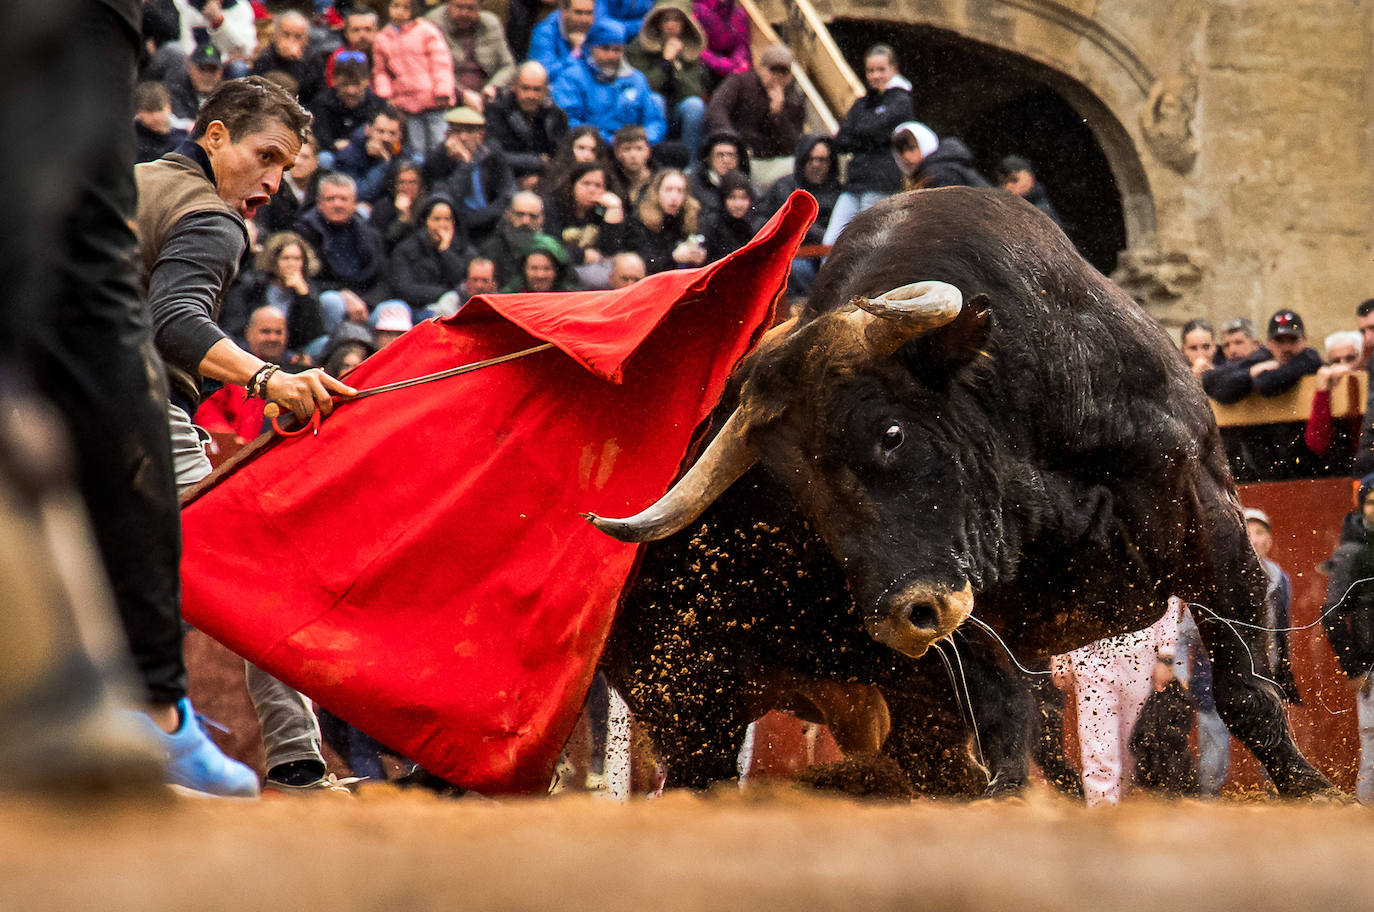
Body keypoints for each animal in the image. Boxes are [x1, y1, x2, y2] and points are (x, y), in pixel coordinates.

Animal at [588, 186, 1330, 796]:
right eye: (797, 488)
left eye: (890, 433)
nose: (901, 616)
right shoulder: (971, 613)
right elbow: (1005, 710)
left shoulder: (1212, 526)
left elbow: (1245, 690)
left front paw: (1311, 789)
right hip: (692, 704)